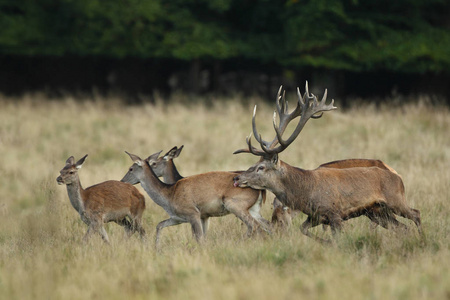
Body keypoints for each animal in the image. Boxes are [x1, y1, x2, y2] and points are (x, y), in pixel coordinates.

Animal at [120, 151, 268, 247]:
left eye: (131, 168)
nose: (122, 181)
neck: (169, 195)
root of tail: (260, 189)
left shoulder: (193, 213)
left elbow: (199, 238)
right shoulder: (179, 218)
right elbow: (159, 225)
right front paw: (157, 248)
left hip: (234, 204)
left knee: (254, 226)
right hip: (254, 209)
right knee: (266, 225)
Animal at [232, 83, 422, 243]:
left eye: (261, 167)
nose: (237, 178)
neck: (306, 192)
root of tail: (398, 176)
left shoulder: (334, 212)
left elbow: (337, 237)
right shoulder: (316, 216)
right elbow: (303, 229)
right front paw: (325, 243)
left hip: (395, 199)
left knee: (416, 213)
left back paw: (423, 238)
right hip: (377, 212)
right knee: (402, 228)